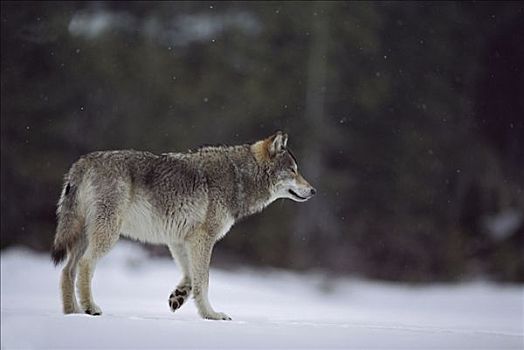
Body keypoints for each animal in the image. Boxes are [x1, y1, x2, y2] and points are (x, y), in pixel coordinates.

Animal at [51, 131, 316, 320]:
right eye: (293, 171)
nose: (313, 190)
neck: (238, 178)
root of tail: (81, 163)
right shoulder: (203, 238)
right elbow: (204, 280)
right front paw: (211, 315)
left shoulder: (180, 240)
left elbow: (191, 276)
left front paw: (178, 297)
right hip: (108, 234)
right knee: (85, 265)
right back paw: (90, 308)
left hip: (84, 236)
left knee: (67, 270)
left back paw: (72, 313)